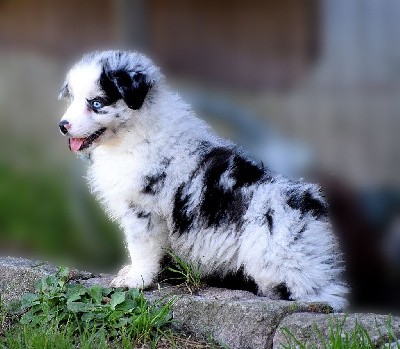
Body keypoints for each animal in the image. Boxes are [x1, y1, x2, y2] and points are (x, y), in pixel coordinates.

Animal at [57, 49, 348, 310]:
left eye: (96, 103)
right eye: (73, 98)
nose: (62, 126)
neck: (135, 134)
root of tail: (310, 206)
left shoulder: (144, 212)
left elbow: (141, 248)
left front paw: (136, 280)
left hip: (277, 254)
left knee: (320, 292)